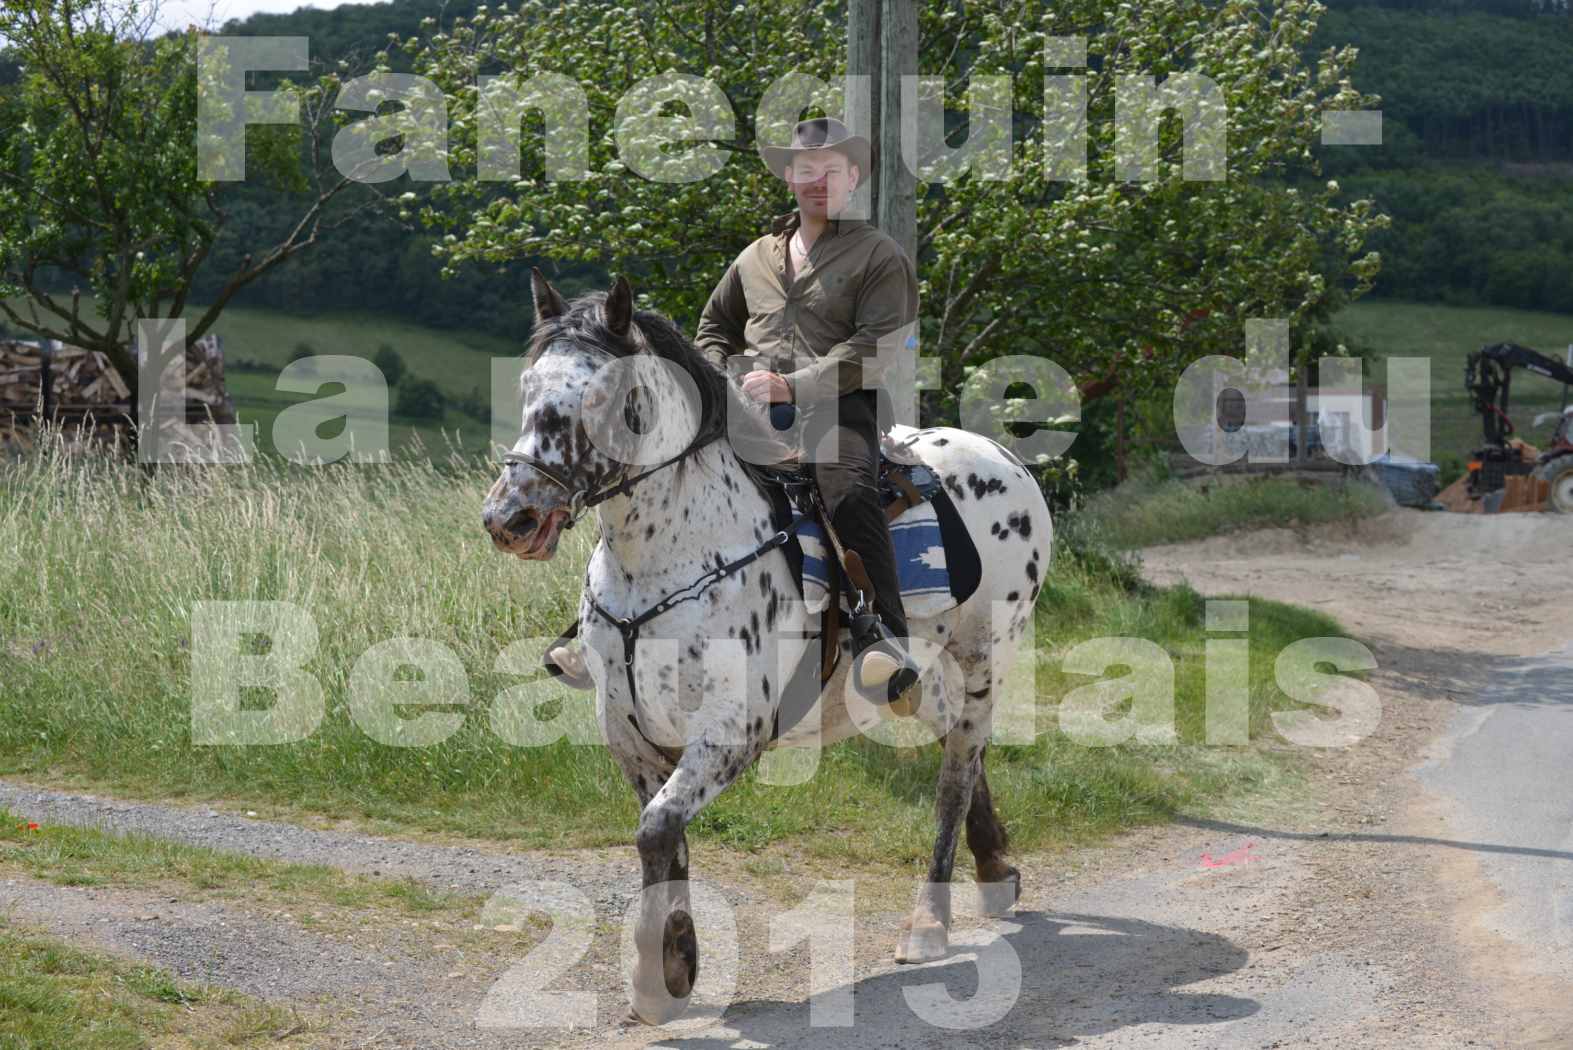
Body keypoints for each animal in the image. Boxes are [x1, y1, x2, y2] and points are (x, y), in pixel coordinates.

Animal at [484, 270, 1050, 1024]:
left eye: (600, 396)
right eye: (527, 385)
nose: (510, 517)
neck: (672, 555)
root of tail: (1004, 457)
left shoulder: (732, 726)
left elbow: (657, 828)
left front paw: (651, 978)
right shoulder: (626, 727)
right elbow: (666, 835)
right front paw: (678, 962)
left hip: (984, 654)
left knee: (958, 768)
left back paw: (928, 924)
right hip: (916, 678)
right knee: (961, 743)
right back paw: (995, 870)